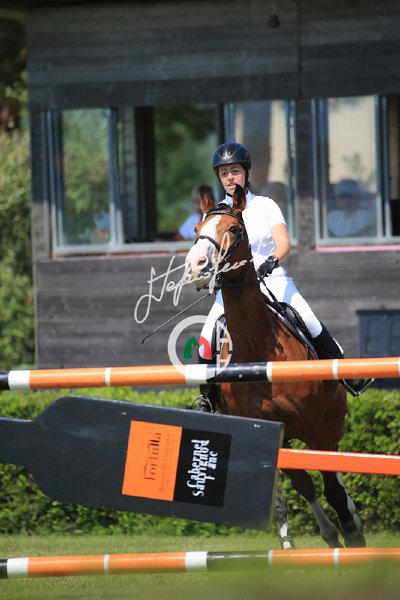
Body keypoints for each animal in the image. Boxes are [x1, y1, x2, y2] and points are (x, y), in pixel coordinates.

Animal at [184, 184, 366, 549]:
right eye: (197, 230)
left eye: (234, 229)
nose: (196, 265)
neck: (260, 347)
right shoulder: (271, 432)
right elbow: (303, 484)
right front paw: (330, 534)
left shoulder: (314, 423)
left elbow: (329, 481)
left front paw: (350, 530)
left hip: (333, 420)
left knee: (335, 459)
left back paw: (352, 516)